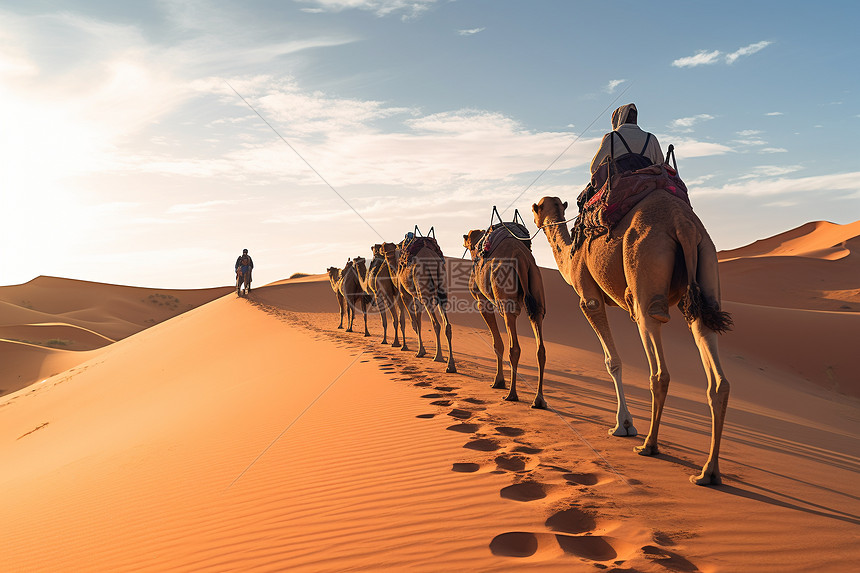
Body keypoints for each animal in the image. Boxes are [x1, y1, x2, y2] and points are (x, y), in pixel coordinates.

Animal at [382, 236, 456, 370]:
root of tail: (432, 260)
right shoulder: (416, 296)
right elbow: (418, 320)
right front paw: (421, 350)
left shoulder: (404, 294)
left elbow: (413, 322)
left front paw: (419, 351)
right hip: (441, 291)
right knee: (447, 324)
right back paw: (450, 364)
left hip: (424, 291)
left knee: (436, 323)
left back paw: (438, 357)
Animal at [466, 227, 548, 406]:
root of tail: (522, 260)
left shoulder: (482, 302)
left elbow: (497, 343)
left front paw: (498, 381)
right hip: (537, 298)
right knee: (541, 349)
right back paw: (539, 400)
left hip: (506, 302)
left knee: (514, 347)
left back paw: (512, 394)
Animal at [536, 193, 732, 488]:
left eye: (537, 208)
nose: (533, 221)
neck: (571, 257)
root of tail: (682, 223)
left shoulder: (589, 298)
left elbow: (612, 361)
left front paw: (624, 425)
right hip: (707, 268)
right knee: (715, 368)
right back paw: (708, 471)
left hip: (645, 278)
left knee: (659, 367)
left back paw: (649, 445)